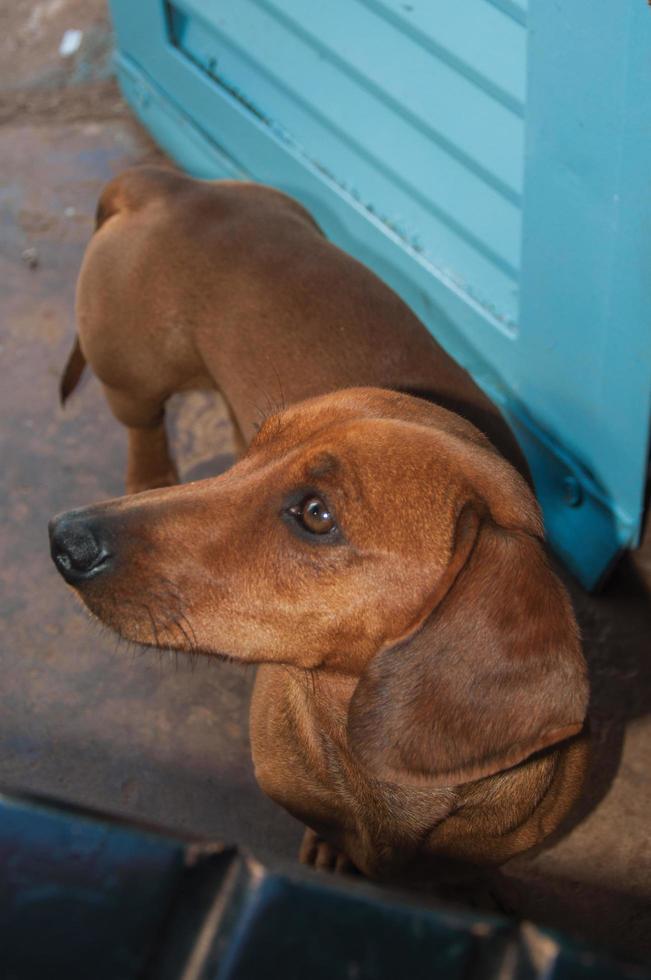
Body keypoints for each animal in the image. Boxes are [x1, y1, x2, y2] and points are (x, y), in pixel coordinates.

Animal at [52, 165, 592, 884]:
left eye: (316, 514)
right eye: (259, 453)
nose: (64, 541)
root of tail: (175, 184)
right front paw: (328, 848)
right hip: (133, 383)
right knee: (144, 432)